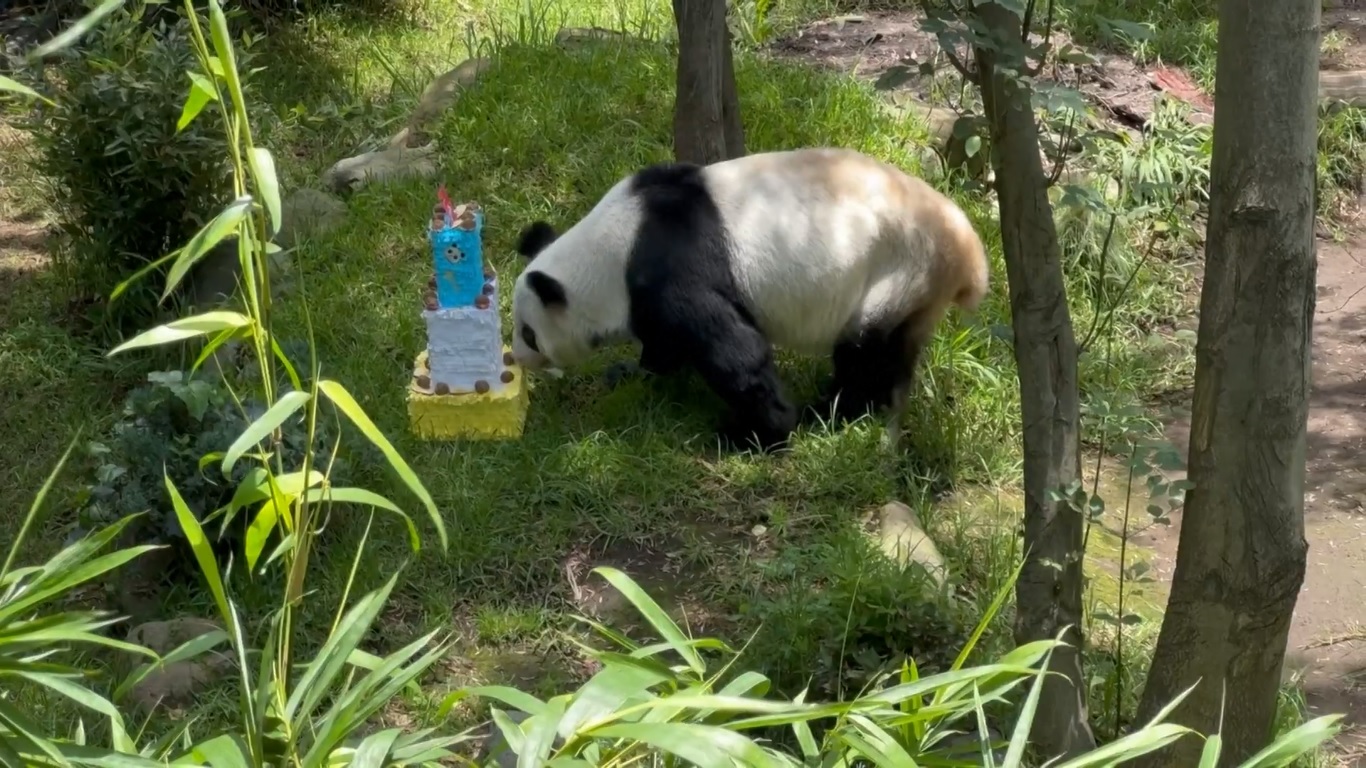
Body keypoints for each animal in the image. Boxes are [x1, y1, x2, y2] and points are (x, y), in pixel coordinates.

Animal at [509, 147, 990, 452]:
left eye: (529, 333)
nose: (518, 360)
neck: (614, 246)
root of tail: (969, 253)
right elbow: (663, 344)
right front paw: (630, 373)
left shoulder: (674, 268)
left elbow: (733, 351)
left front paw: (755, 433)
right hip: (917, 291)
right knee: (892, 352)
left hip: (895, 270)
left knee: (863, 351)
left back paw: (831, 412)